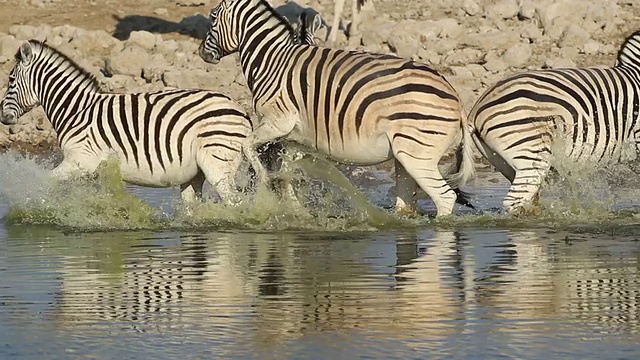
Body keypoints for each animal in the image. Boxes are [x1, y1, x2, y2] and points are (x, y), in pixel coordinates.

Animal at [1, 40, 254, 204]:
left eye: (11, 80)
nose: (3, 117)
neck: (75, 110)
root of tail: (241, 112)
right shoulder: (102, 169)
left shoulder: (80, 161)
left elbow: (48, 182)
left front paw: (39, 205)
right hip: (196, 173)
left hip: (216, 164)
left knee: (235, 203)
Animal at [200, 0, 476, 217]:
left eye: (212, 17)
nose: (202, 53)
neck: (271, 61)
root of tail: (455, 97)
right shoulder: (294, 138)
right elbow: (285, 173)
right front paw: (293, 208)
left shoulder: (278, 121)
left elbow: (247, 146)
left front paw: (265, 181)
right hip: (404, 158)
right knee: (406, 204)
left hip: (418, 156)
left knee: (445, 198)